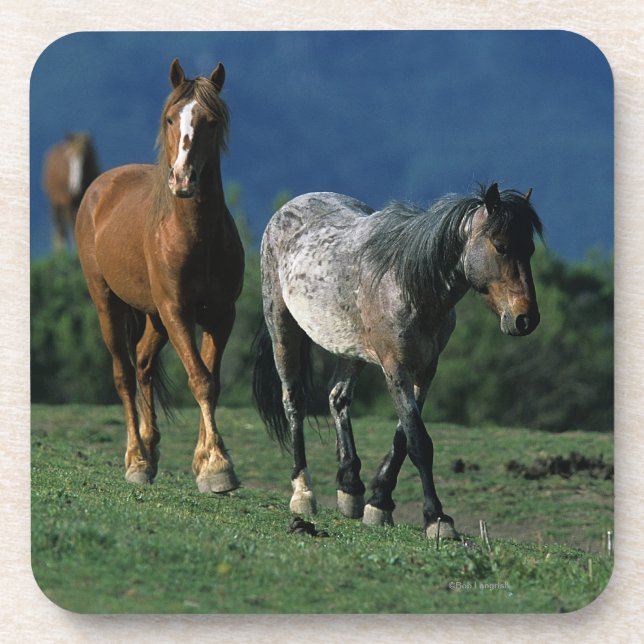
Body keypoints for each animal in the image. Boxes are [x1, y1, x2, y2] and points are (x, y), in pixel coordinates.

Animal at [75, 59, 244, 493]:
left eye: (211, 121)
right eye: (171, 118)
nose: (183, 178)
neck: (194, 235)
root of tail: (99, 188)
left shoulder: (220, 314)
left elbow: (212, 382)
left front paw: (205, 462)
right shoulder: (177, 310)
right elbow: (199, 379)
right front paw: (218, 467)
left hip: (154, 316)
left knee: (143, 362)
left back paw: (150, 453)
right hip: (108, 303)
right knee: (123, 373)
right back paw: (136, 458)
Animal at [253, 183, 542, 539]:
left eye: (530, 249)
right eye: (501, 246)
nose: (526, 319)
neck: (407, 283)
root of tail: (288, 208)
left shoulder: (426, 371)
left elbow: (402, 438)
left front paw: (378, 503)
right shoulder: (396, 368)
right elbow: (419, 442)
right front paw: (437, 518)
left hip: (351, 349)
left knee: (337, 397)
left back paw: (350, 486)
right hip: (282, 328)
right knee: (294, 401)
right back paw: (303, 494)